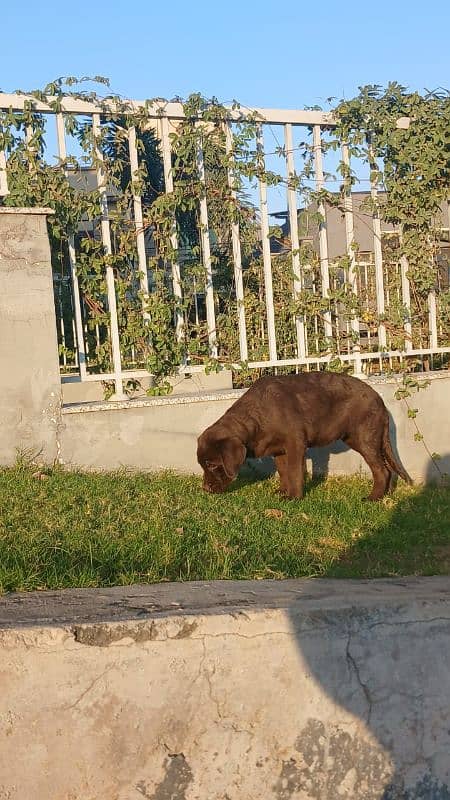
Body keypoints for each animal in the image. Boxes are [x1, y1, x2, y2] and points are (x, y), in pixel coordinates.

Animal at [197, 372, 412, 496]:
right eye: (203, 465)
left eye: (212, 465)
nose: (205, 489)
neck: (257, 416)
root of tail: (380, 400)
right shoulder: (279, 450)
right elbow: (284, 472)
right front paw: (282, 493)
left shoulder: (295, 444)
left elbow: (294, 471)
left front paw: (294, 497)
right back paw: (385, 495)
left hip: (365, 438)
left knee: (382, 470)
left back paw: (373, 498)